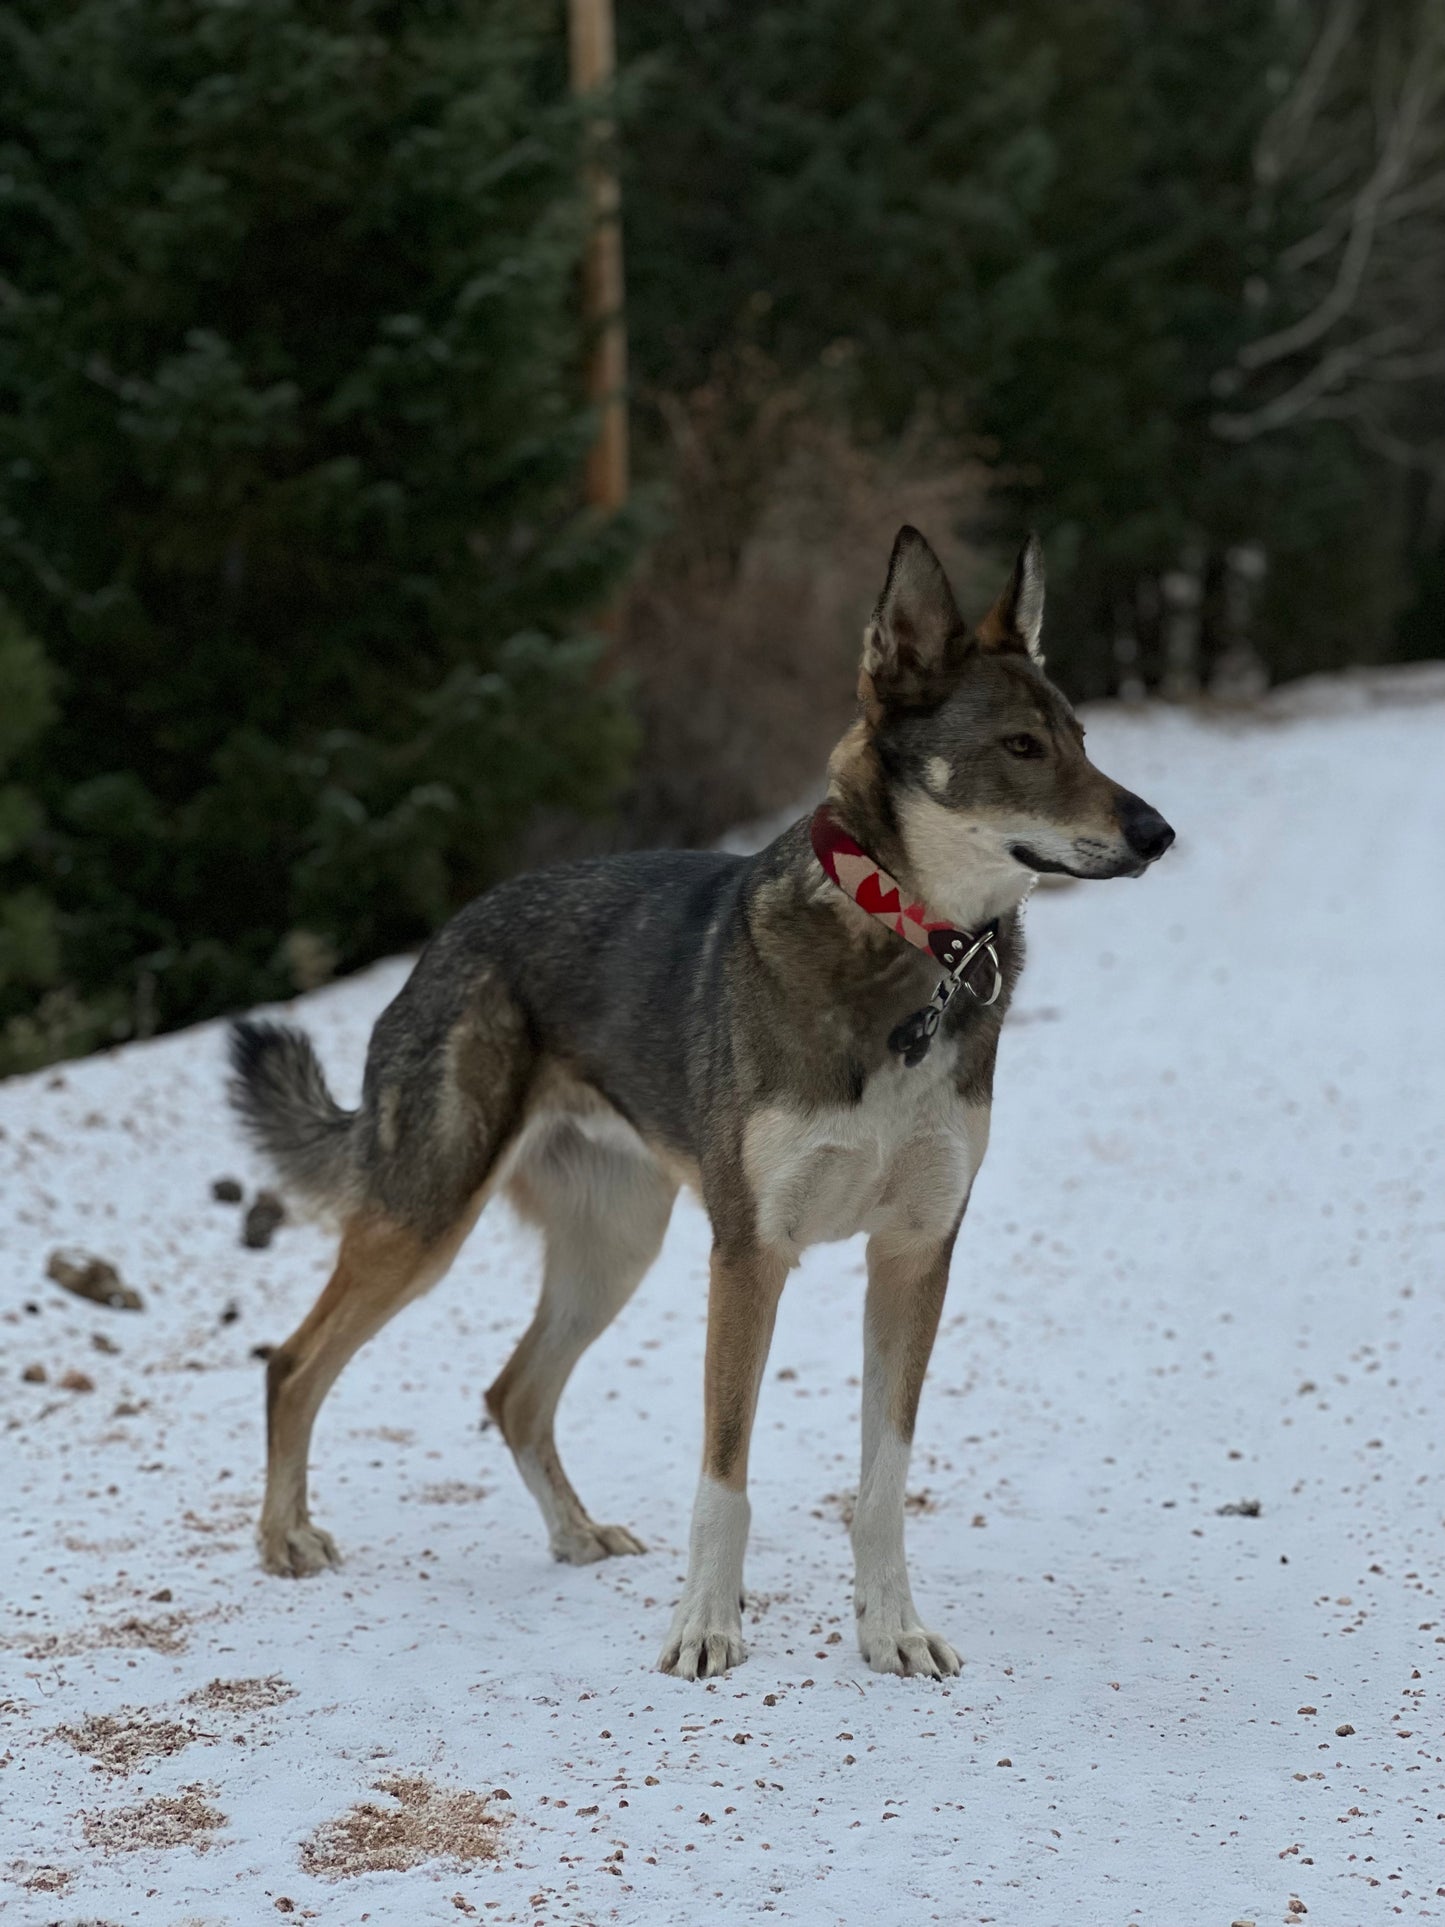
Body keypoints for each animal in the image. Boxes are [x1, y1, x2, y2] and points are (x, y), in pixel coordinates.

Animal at [229, 535, 1179, 1680]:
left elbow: (880, 1483)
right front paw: (704, 1629)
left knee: (513, 1392)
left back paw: (574, 1534)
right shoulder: (749, 1253)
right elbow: (724, 1478)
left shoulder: (912, 1252)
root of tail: (443, 942)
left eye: (1081, 739)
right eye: (1020, 746)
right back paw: (284, 1538)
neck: (907, 949)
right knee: (291, 1365)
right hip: (427, 1221)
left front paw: (890, 1630)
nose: (1157, 832)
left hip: (614, 1249)